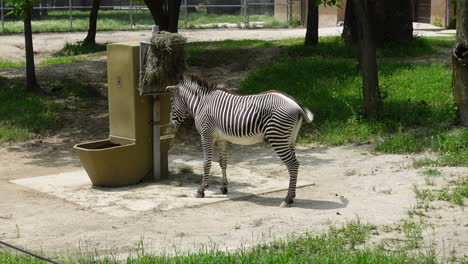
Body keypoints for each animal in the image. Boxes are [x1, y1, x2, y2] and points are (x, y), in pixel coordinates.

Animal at [165, 73, 314, 207]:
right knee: (295, 164)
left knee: (292, 164)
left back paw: (287, 199)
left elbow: (206, 163)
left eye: (171, 102)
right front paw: (224, 188)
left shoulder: (206, 135)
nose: (171, 126)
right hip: (290, 138)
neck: (202, 103)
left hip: (277, 137)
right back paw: (292, 197)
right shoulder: (222, 138)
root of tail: (296, 104)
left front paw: (201, 190)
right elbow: (223, 162)